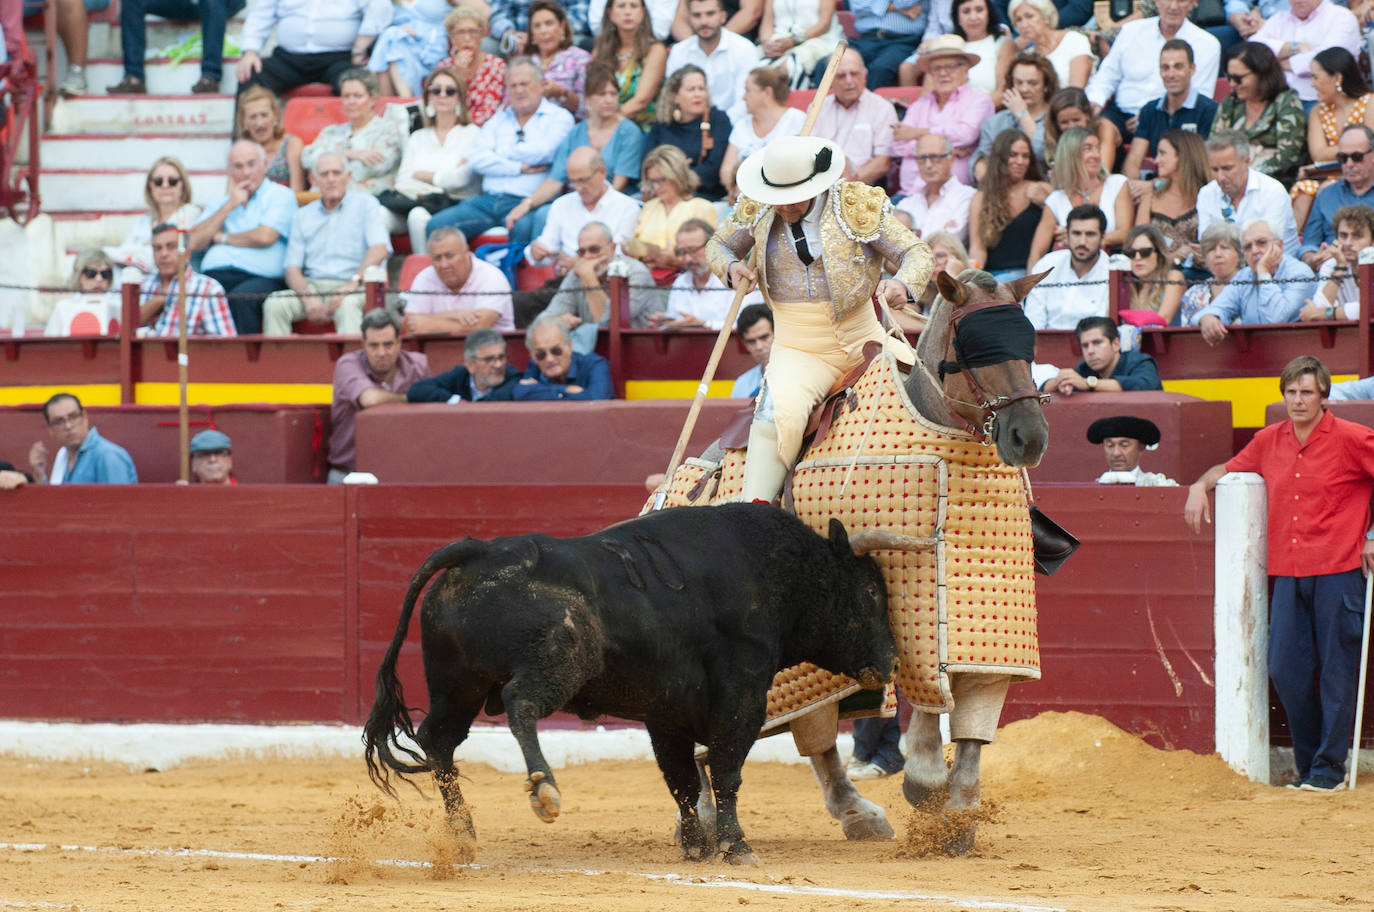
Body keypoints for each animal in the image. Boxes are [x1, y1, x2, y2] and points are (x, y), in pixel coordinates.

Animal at [362, 502, 901, 868]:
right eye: (871, 593)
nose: (892, 661)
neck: (779, 573)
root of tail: (479, 549)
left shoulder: (666, 713)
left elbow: (683, 782)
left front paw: (695, 847)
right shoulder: (742, 694)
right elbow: (726, 771)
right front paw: (735, 846)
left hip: (459, 686)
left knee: (438, 739)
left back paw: (461, 834)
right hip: (559, 660)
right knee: (520, 703)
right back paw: (543, 789)